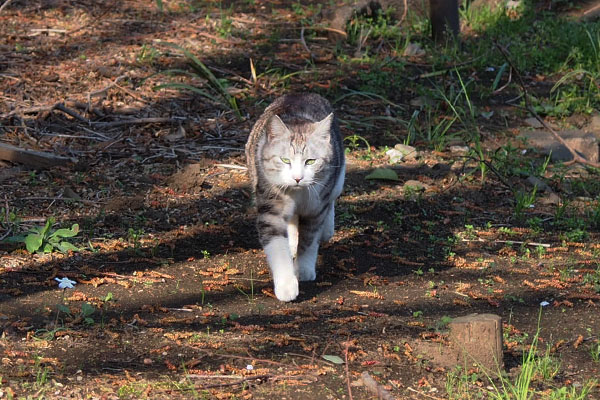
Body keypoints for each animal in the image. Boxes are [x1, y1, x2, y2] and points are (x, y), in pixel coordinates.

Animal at [245, 93, 346, 300]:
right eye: (285, 160)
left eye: (311, 161)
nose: (298, 178)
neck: (298, 193)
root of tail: (301, 93)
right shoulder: (270, 208)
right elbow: (277, 246)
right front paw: (286, 284)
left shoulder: (316, 208)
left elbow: (309, 241)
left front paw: (304, 269)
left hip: (338, 177)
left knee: (331, 200)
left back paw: (327, 229)